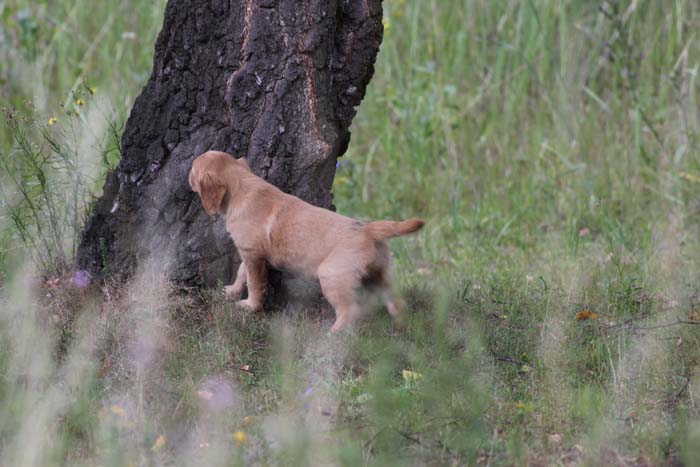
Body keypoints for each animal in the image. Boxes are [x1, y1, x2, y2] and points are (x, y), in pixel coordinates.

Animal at [189, 151, 424, 332]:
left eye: (192, 170)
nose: (186, 177)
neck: (242, 185)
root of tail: (368, 229)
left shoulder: (253, 255)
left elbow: (254, 284)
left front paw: (249, 306)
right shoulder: (250, 254)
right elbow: (241, 272)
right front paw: (232, 290)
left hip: (331, 275)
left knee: (350, 311)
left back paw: (332, 335)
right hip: (379, 275)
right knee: (397, 304)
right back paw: (401, 329)